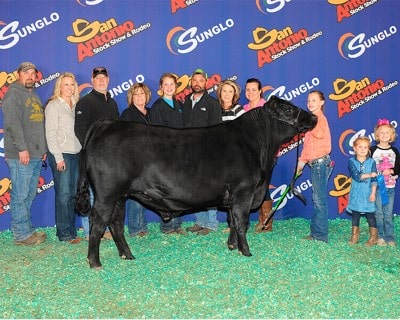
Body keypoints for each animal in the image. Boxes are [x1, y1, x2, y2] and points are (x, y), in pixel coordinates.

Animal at [76, 96, 318, 268]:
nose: (314, 117)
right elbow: (242, 222)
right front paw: (246, 251)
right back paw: (95, 262)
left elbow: (232, 221)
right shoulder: (244, 191)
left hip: (120, 195)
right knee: (98, 222)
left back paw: (127, 255)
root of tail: (106, 124)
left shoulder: (235, 196)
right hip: (107, 193)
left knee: (115, 223)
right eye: (288, 110)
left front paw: (232, 246)